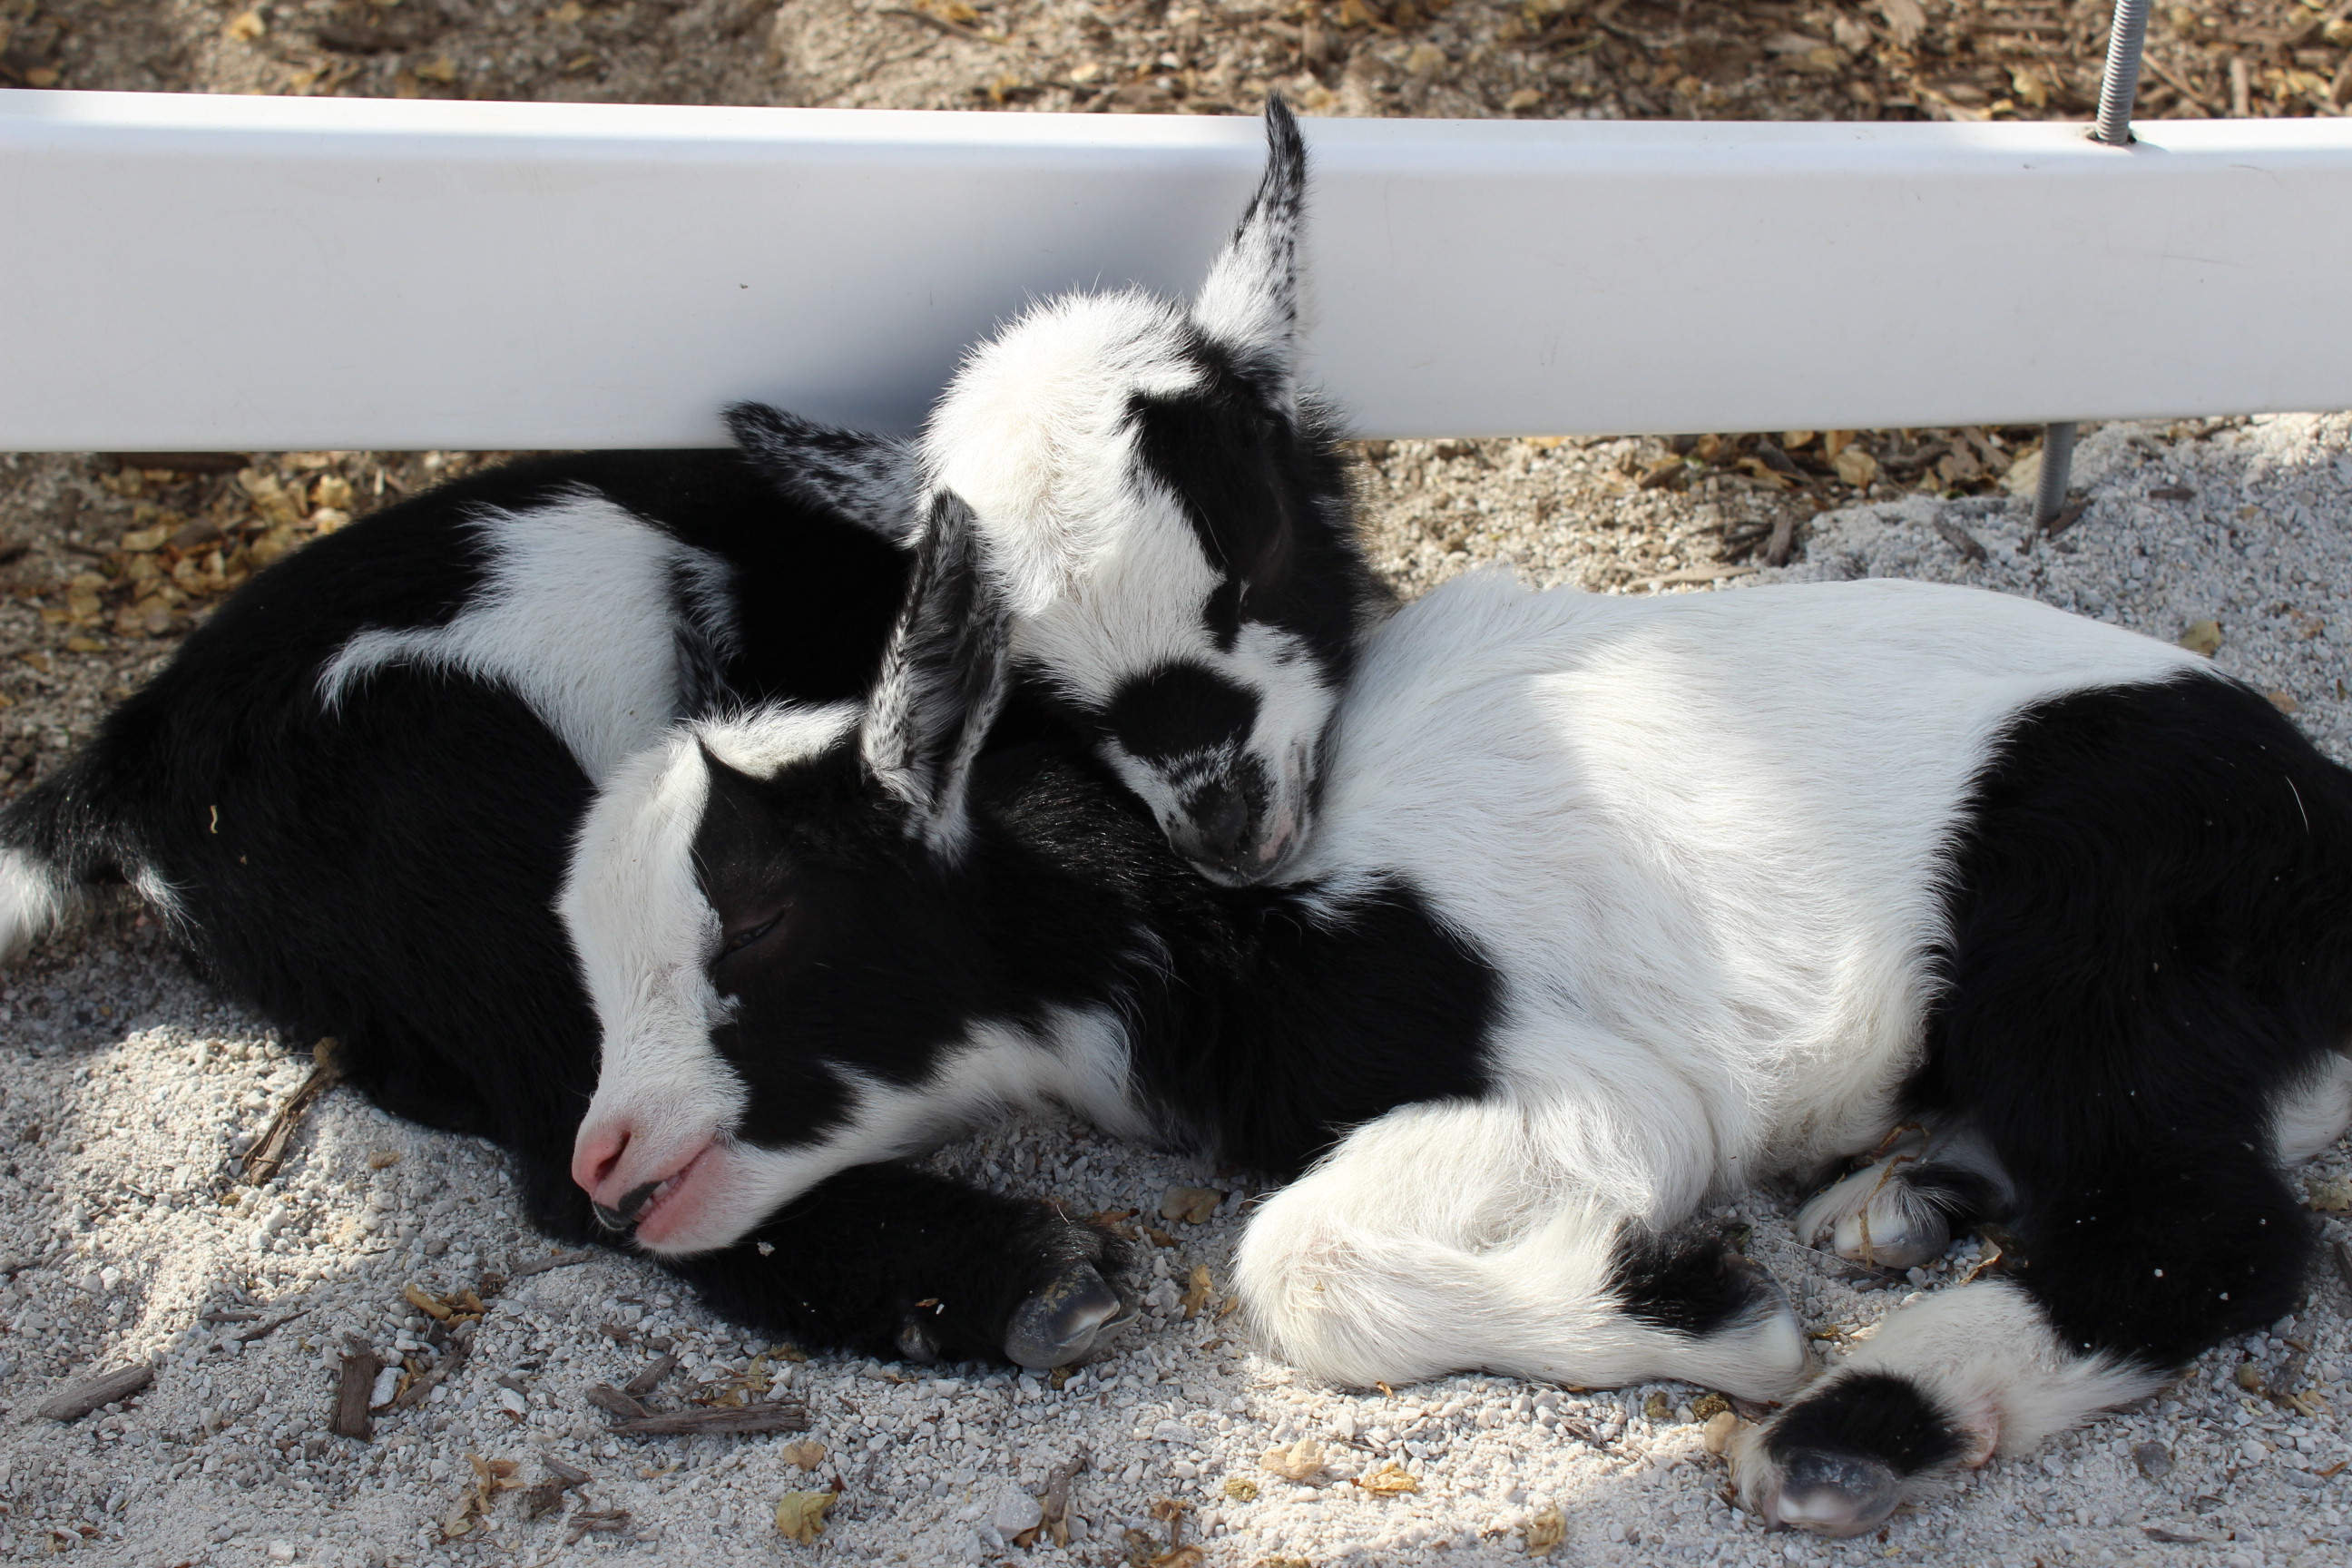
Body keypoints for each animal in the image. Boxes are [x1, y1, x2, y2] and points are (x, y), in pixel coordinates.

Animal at [568, 487, 2352, 1540]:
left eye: (765, 918)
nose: (604, 1164)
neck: (1163, 890)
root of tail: (2325, 841)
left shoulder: (1594, 1085)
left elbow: (1296, 1256)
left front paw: (1705, 1307)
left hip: (2091, 941)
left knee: (2210, 1225)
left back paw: (1857, 1423)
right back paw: (1905, 1197)